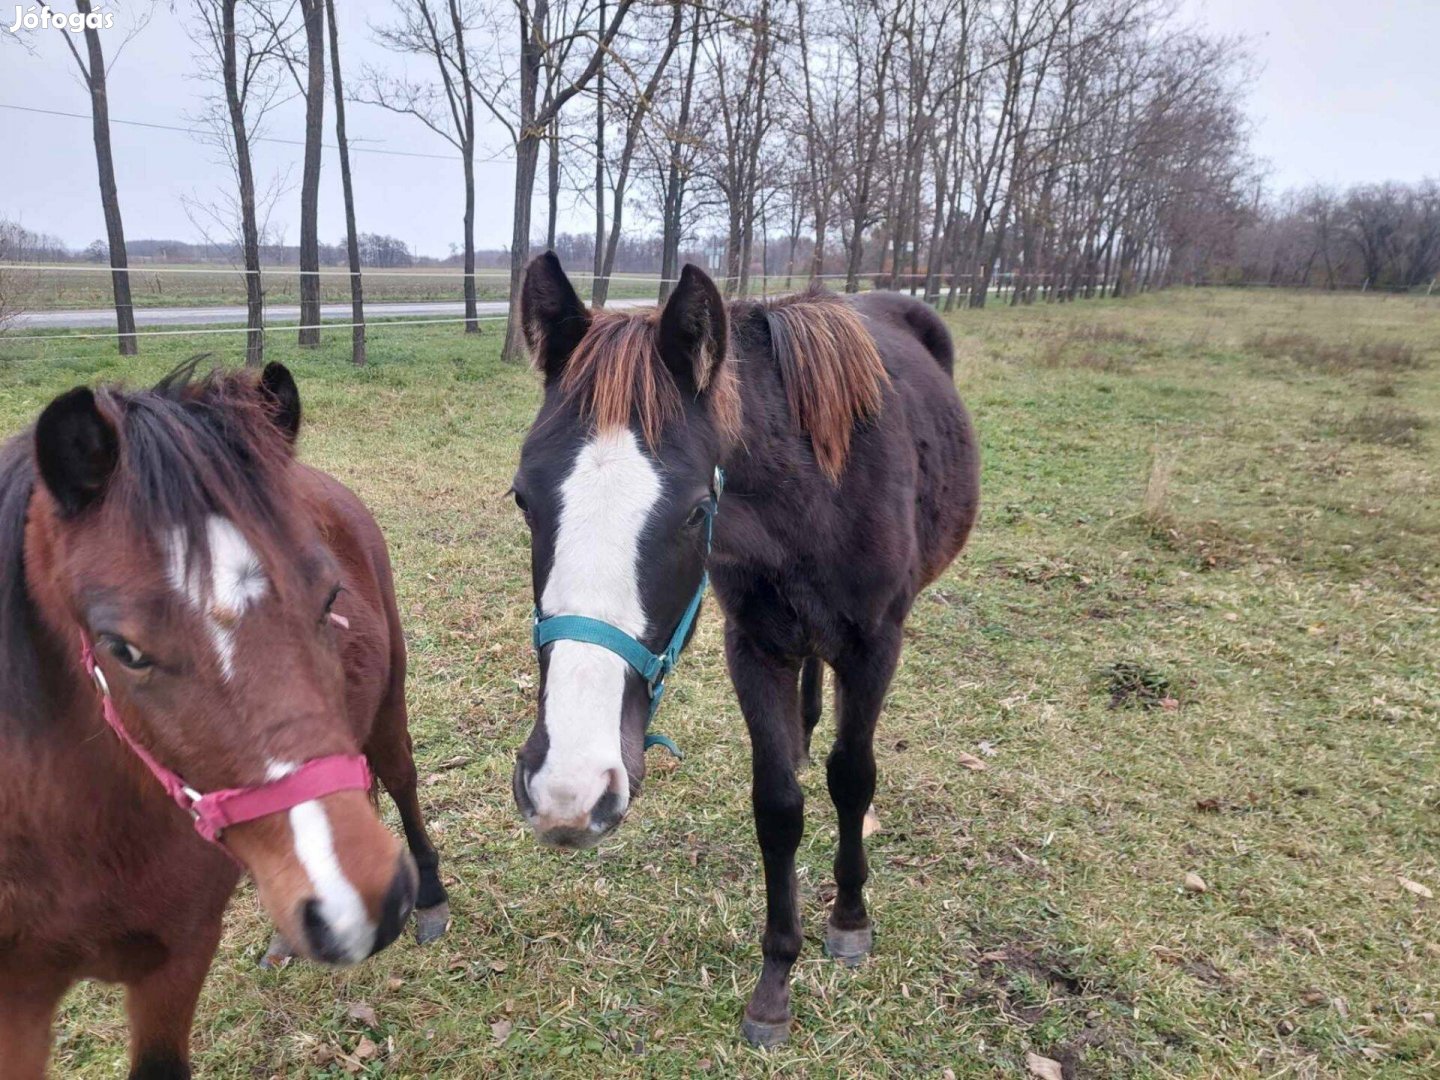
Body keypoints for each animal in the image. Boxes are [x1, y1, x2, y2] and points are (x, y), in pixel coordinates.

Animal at [0, 365, 443, 1080]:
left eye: (328, 597)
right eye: (123, 650)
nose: (363, 900)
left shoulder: (177, 960)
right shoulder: (19, 996)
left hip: (388, 706)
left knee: (402, 779)